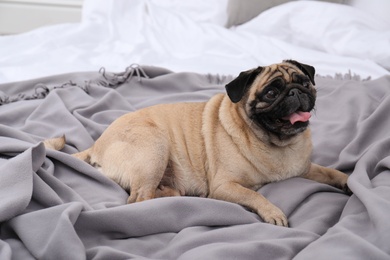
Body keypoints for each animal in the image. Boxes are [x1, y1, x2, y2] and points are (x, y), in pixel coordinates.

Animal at [45, 60, 350, 226]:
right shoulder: (225, 187)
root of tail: (98, 144)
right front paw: (273, 212)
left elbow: (328, 172)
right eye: (271, 93)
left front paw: (347, 181)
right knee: (138, 199)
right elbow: (256, 195)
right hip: (154, 147)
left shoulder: (304, 168)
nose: (295, 92)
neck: (279, 145)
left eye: (305, 82)